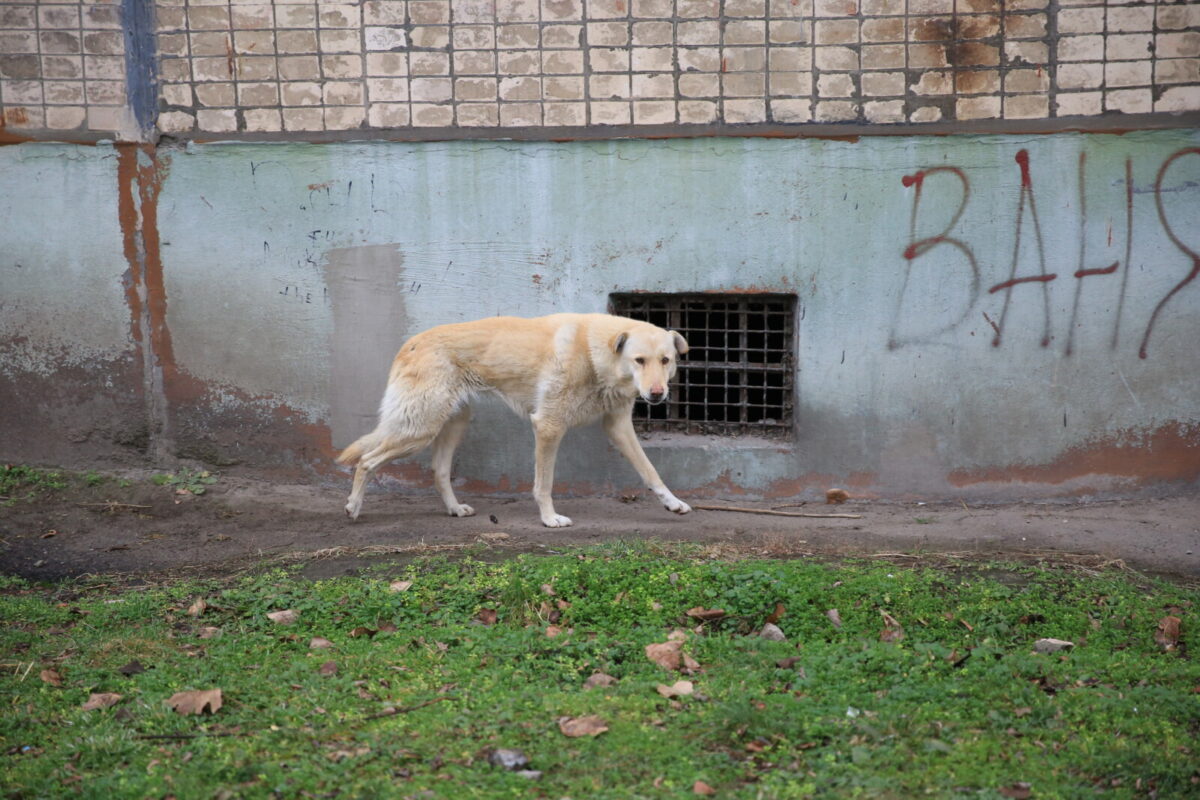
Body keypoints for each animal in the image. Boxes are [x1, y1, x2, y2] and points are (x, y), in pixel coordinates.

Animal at [340, 311, 696, 525]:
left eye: (666, 360)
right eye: (639, 360)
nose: (656, 394)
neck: (596, 355)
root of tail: (409, 343)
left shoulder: (619, 426)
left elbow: (650, 472)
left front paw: (673, 503)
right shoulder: (549, 426)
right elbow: (544, 483)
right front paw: (550, 519)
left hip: (451, 424)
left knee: (438, 471)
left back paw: (455, 509)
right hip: (419, 429)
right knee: (367, 461)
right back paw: (353, 507)